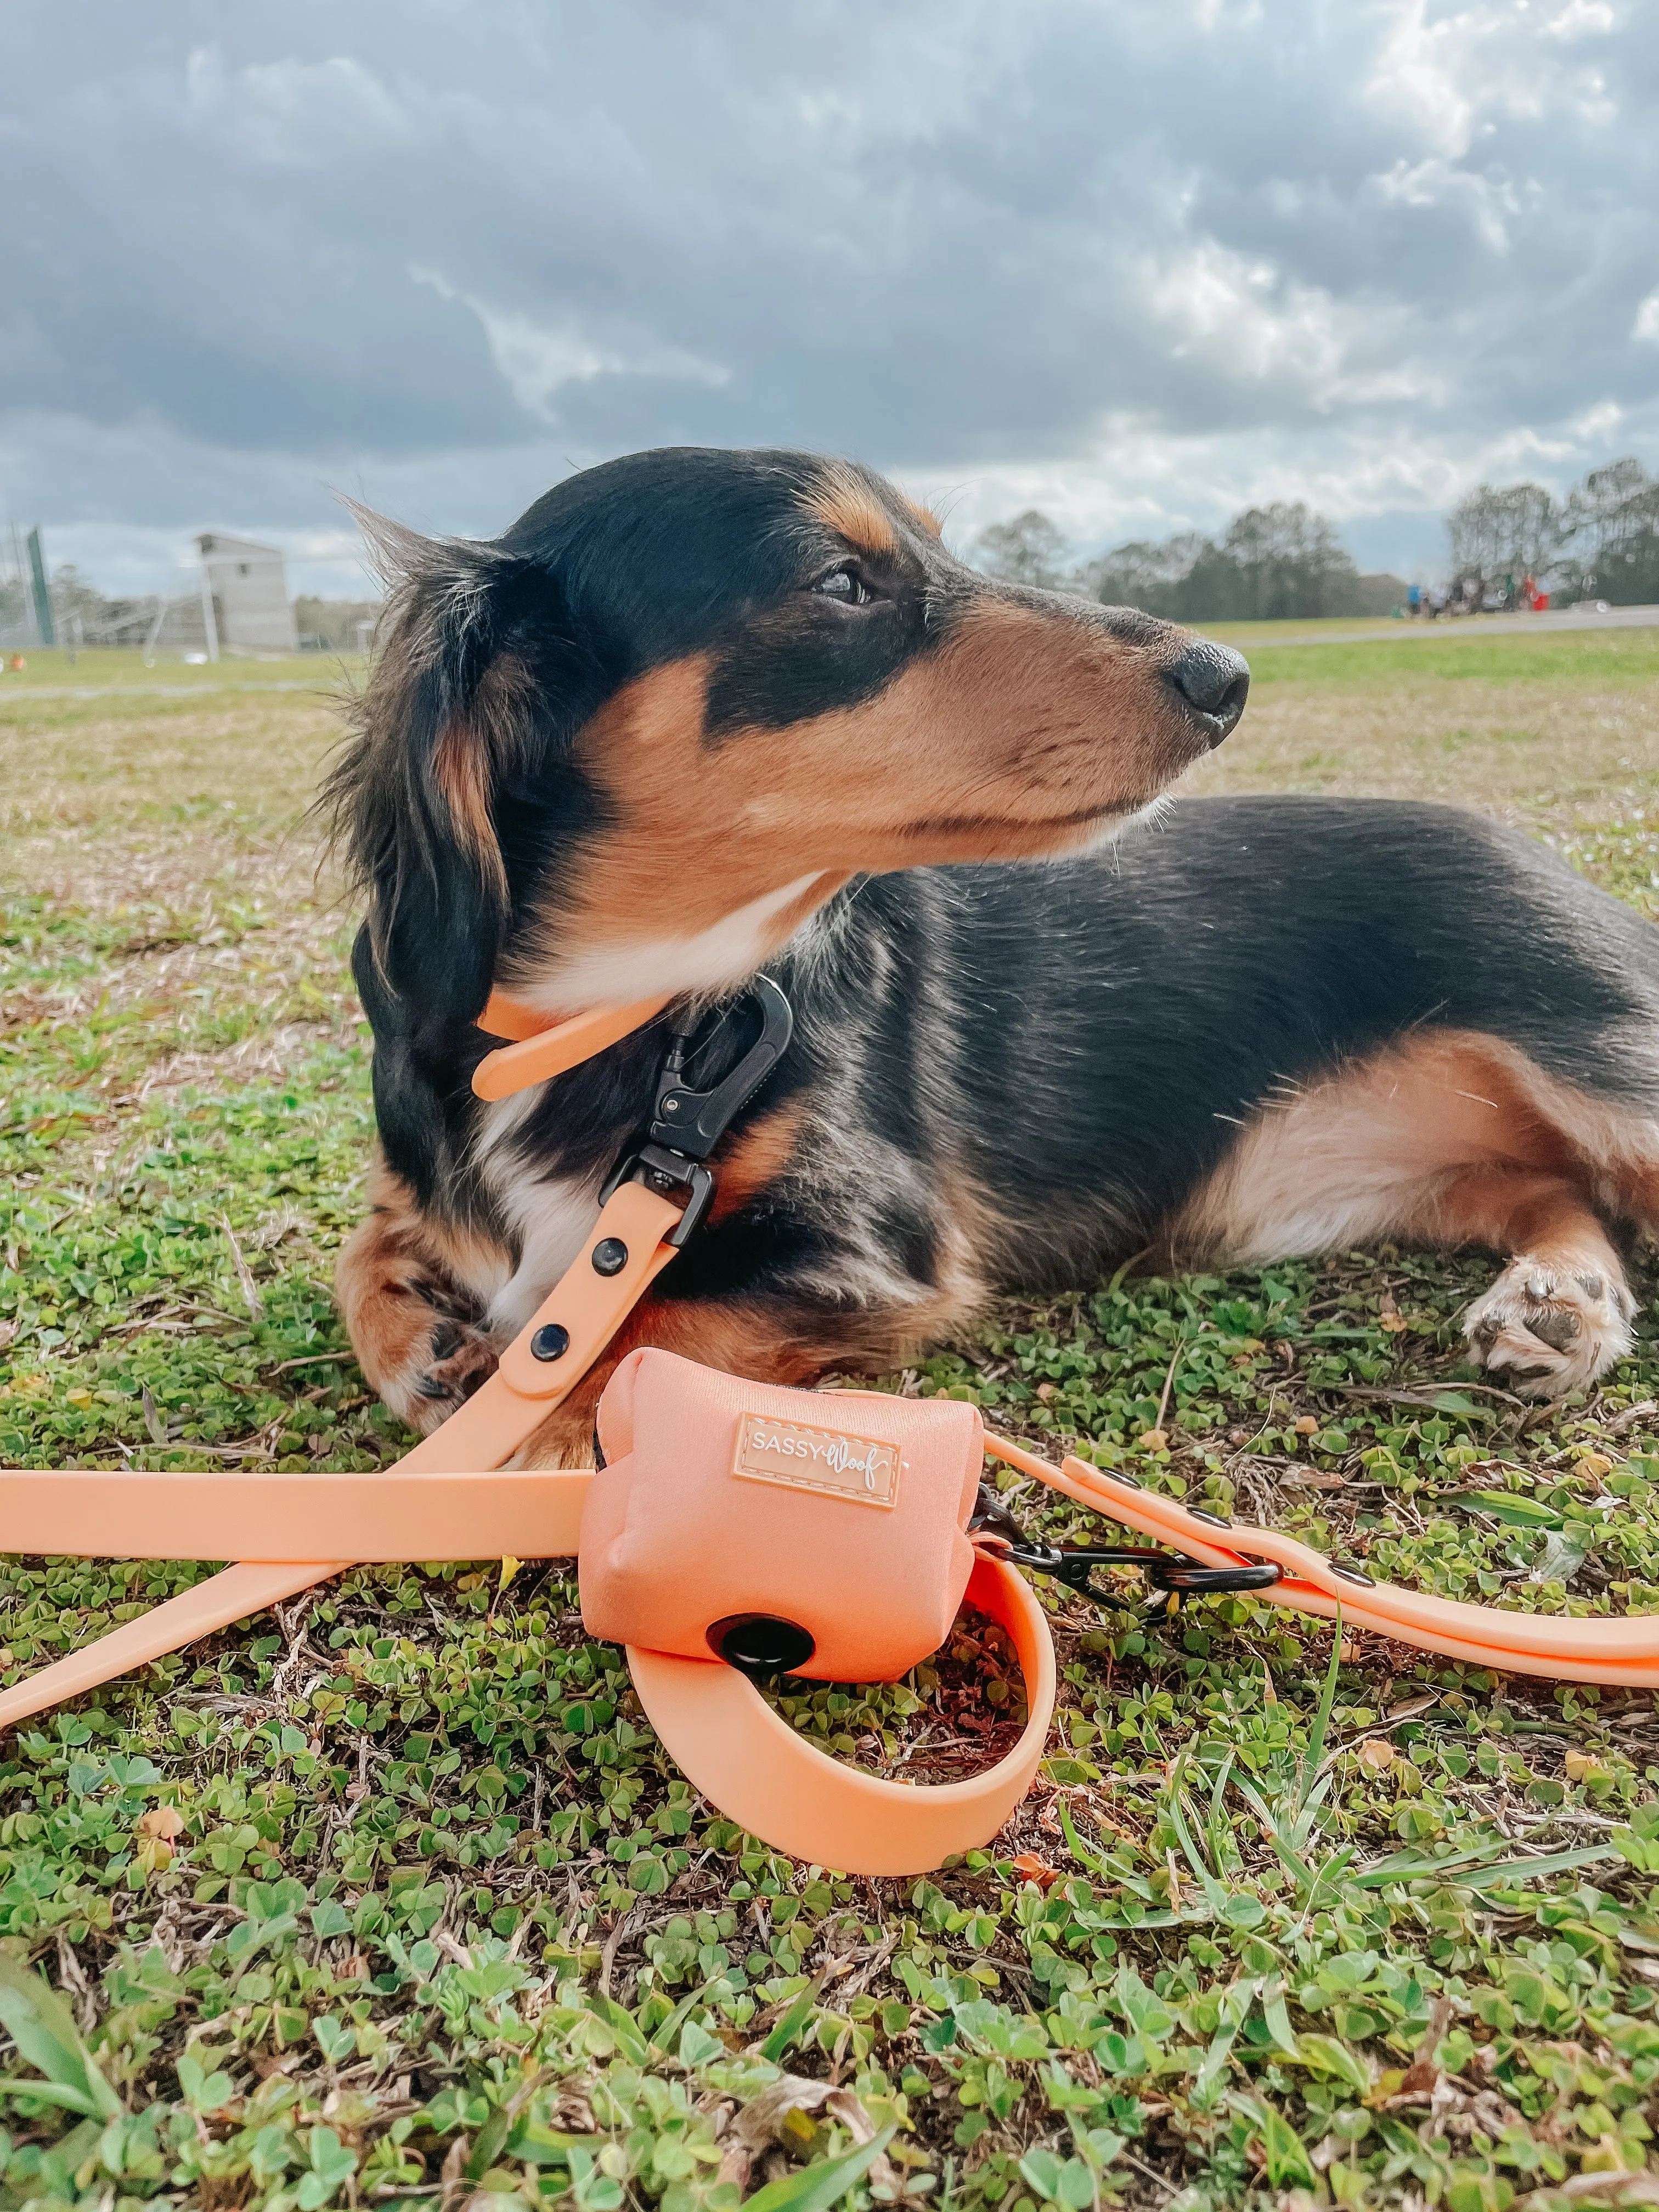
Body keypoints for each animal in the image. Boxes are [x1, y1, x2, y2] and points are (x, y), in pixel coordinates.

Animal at [331, 440, 1659, 1460]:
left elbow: (637, 1340)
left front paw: (520, 1427)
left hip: (1605, 1067)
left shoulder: (863, 1246)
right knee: (1558, 1190)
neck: (623, 1011)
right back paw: (1562, 1303)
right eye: (843, 580)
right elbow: (368, 1243)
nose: (1228, 677)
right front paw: (424, 1339)